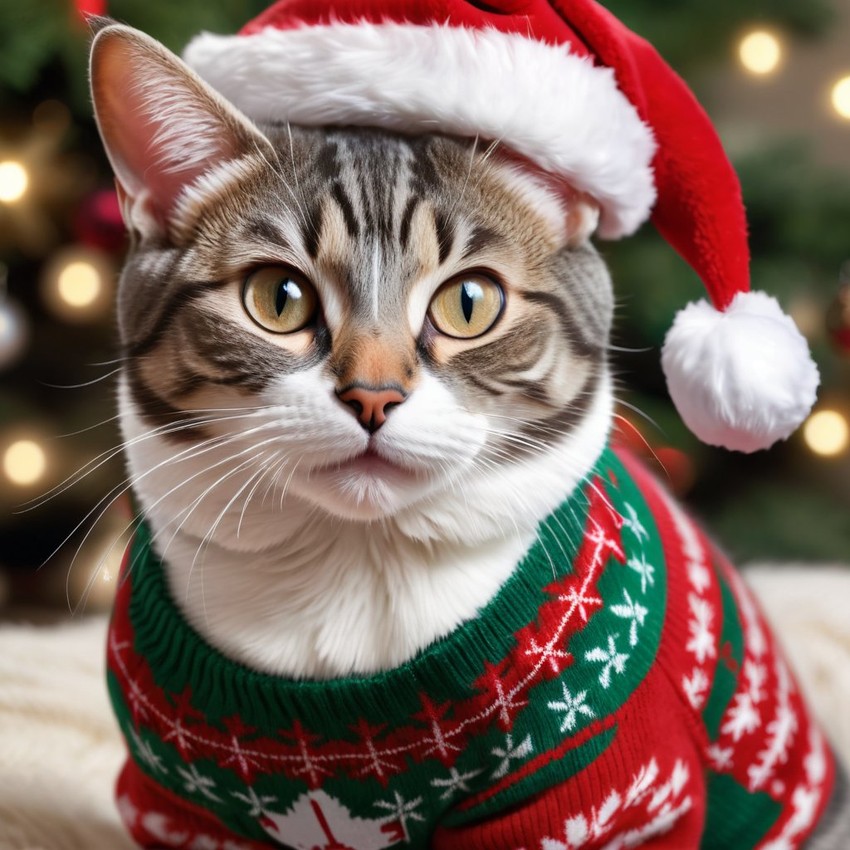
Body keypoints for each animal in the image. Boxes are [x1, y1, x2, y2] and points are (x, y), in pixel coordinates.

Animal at [89, 14, 844, 850]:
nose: (373, 395)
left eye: (470, 302)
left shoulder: (610, 789)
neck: (355, 569)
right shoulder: (176, 804)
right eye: (277, 298)